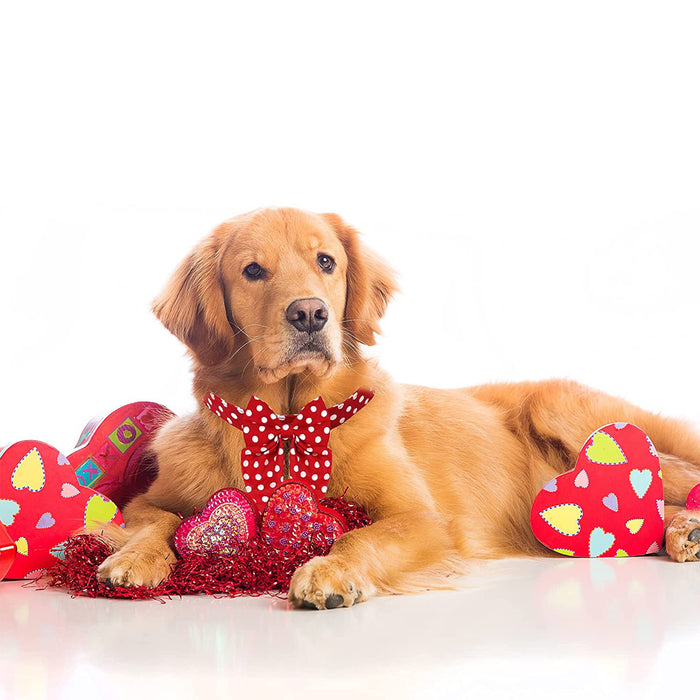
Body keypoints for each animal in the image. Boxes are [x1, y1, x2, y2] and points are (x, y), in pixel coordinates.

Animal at [97, 206, 700, 608]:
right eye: (252, 271)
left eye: (326, 261)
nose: (310, 314)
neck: (289, 421)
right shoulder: (148, 499)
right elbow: (154, 523)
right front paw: (131, 559)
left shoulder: (423, 519)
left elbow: (361, 534)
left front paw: (330, 571)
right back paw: (681, 533)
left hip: (563, 411)